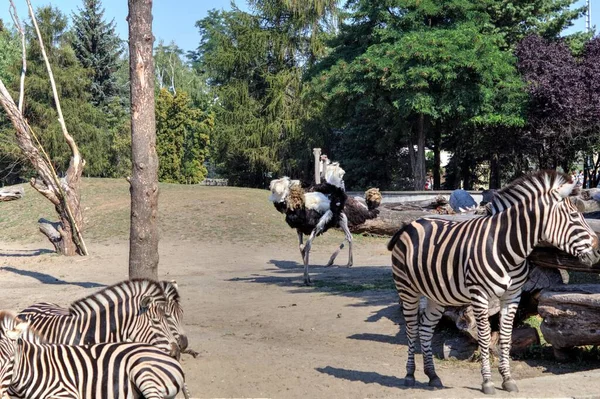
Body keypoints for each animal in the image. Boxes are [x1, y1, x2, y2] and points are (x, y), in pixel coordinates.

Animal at [386, 170, 596, 396]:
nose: (597, 251)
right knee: (412, 328)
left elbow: (505, 336)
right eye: (574, 216)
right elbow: (485, 336)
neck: (506, 247)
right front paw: (487, 382)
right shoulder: (480, 296)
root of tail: (410, 224)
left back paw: (433, 376)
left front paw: (507, 379)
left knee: (425, 328)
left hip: (436, 294)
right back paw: (409, 375)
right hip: (407, 289)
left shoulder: (513, 296)